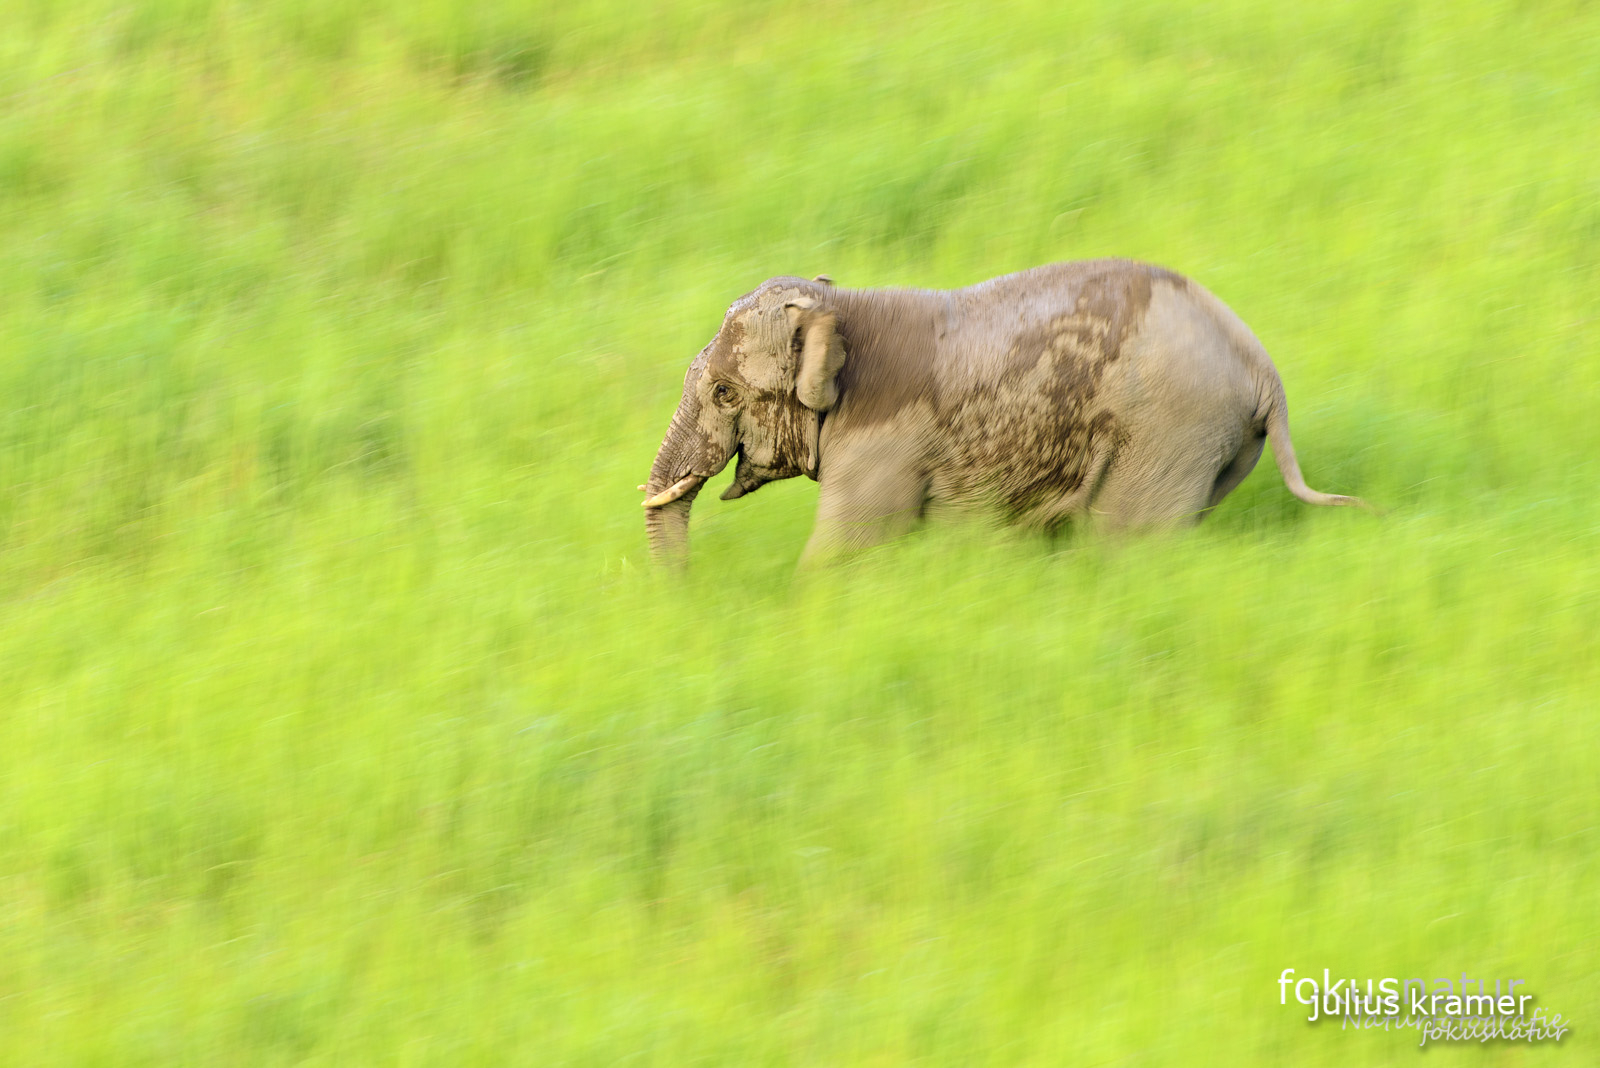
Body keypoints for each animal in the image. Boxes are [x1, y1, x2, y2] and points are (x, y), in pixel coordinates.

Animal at [643, 259, 1369, 565]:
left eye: (724, 392)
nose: (688, 599)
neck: (843, 306)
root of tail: (1261, 368)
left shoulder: (883, 436)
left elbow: (850, 541)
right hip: (1214, 443)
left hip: (1170, 427)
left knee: (1128, 536)